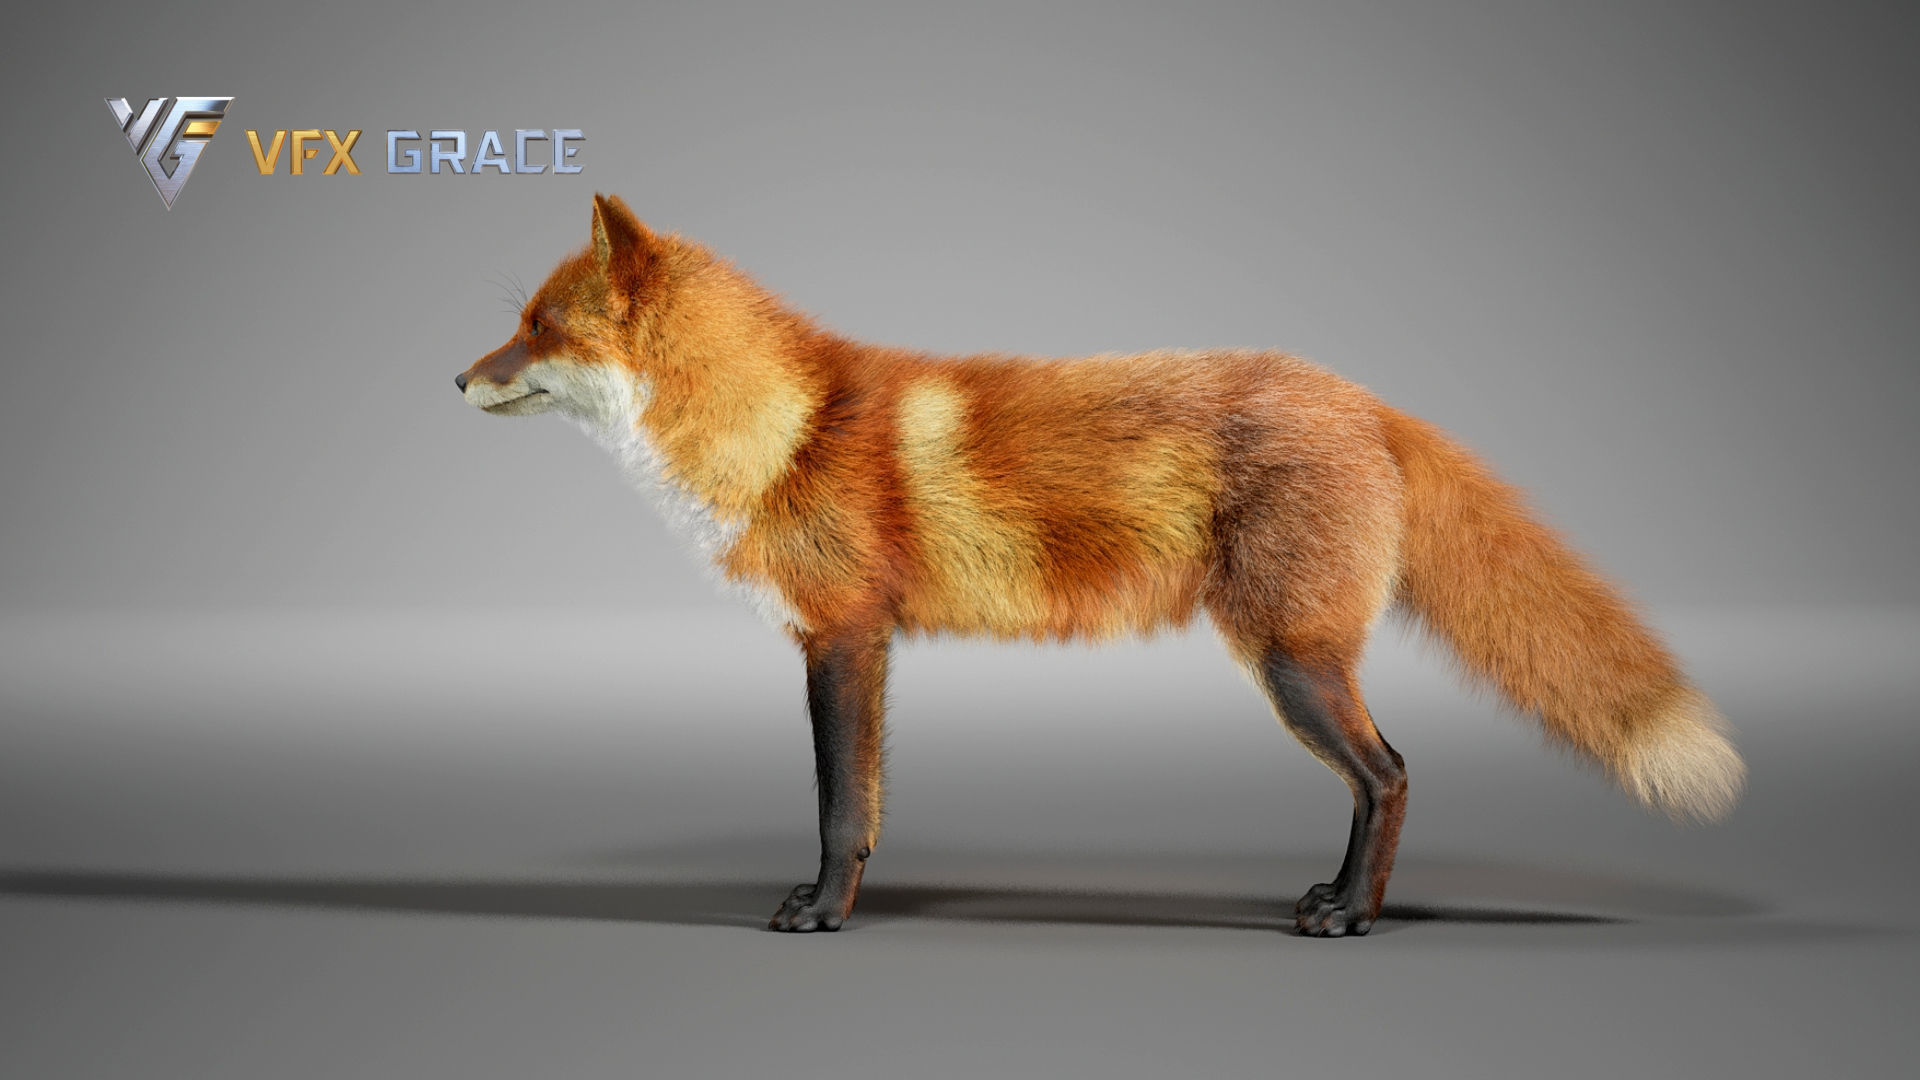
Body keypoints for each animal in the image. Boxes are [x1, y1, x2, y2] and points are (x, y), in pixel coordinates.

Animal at [455, 193, 1745, 937]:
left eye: (538, 326)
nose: (455, 379)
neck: (784, 428)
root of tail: (1359, 395)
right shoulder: (860, 644)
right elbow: (863, 802)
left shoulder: (844, 637)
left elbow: (837, 807)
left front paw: (823, 911)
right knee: (1386, 776)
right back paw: (1346, 902)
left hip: (1291, 661)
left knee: (1388, 775)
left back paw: (1349, 916)